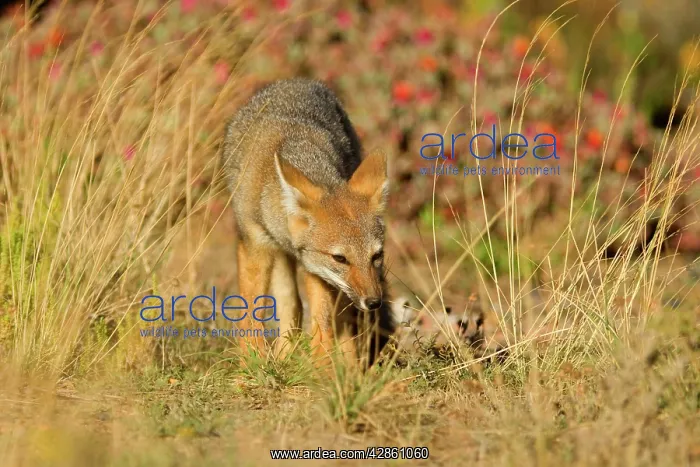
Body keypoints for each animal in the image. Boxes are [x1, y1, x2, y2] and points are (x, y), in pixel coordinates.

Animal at [221, 78, 395, 367]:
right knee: (290, 304)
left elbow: (322, 323)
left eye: (377, 255)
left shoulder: (317, 272)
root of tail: (296, 81)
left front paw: (322, 367)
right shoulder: (255, 246)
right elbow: (250, 311)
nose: (373, 302)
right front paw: (252, 362)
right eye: (340, 258)